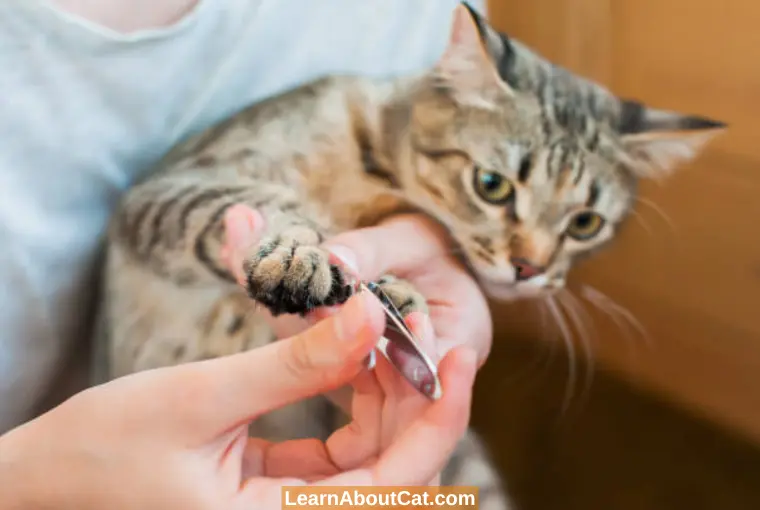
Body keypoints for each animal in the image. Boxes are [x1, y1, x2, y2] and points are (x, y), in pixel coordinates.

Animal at [90, 2, 724, 506]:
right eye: (492, 185)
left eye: (585, 224)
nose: (530, 269)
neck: (371, 175)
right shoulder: (168, 188)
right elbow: (255, 199)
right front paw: (301, 249)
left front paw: (396, 287)